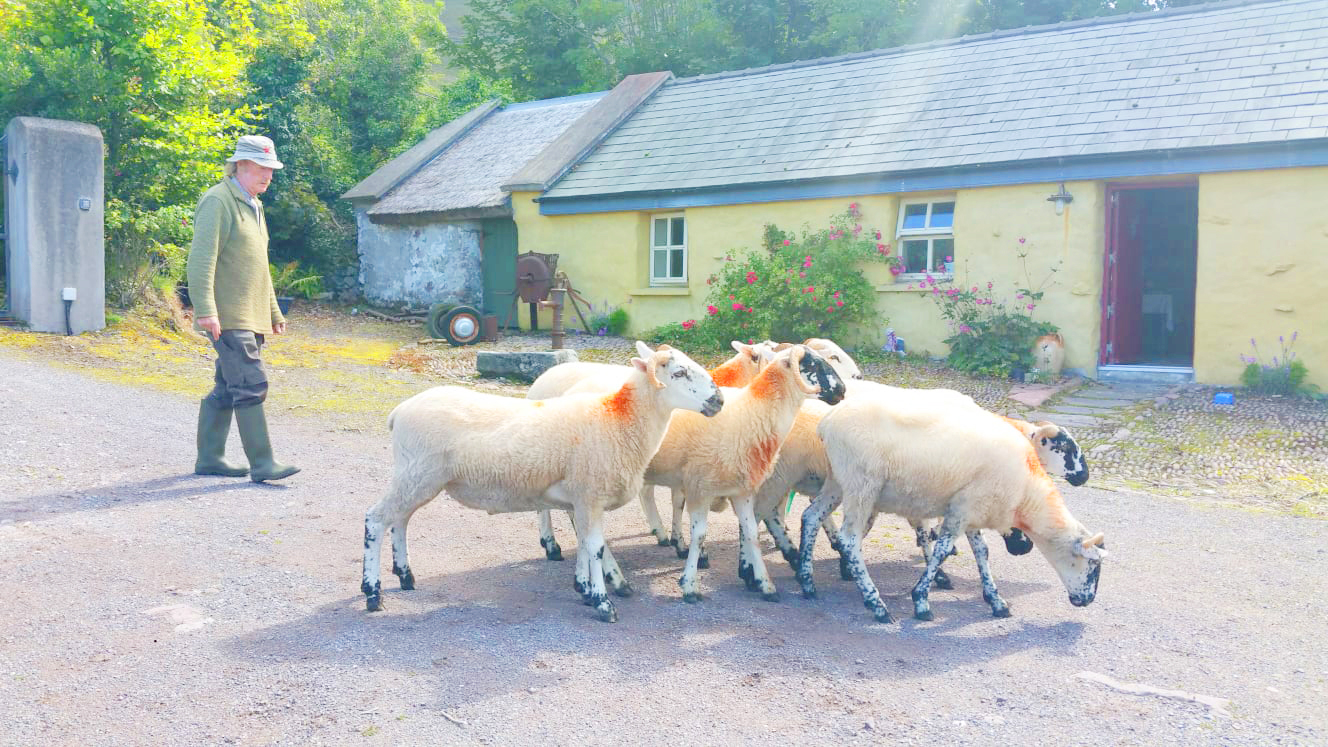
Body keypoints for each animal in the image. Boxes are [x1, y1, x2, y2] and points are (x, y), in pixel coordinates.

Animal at [358, 340, 722, 619]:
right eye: (678, 373)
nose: (718, 400)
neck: (620, 420)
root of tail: (399, 412)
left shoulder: (580, 497)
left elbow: (586, 544)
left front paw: (585, 588)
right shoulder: (590, 492)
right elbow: (595, 547)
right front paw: (603, 603)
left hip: (415, 476)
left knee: (400, 520)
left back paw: (405, 576)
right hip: (417, 473)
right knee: (376, 519)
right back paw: (373, 593)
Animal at [523, 337, 775, 552]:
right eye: (679, 372)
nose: (718, 400)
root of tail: (542, 378)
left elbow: (669, 500)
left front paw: (669, 536)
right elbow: (678, 502)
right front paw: (681, 543)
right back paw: (552, 544)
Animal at [796, 393, 1099, 619]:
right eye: (1094, 566)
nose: (1087, 600)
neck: (1026, 493)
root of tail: (827, 422)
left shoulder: (971, 506)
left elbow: (981, 551)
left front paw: (995, 600)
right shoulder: (962, 511)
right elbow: (941, 550)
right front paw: (921, 601)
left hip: (838, 480)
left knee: (811, 517)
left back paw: (807, 582)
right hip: (862, 485)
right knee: (849, 539)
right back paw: (876, 605)